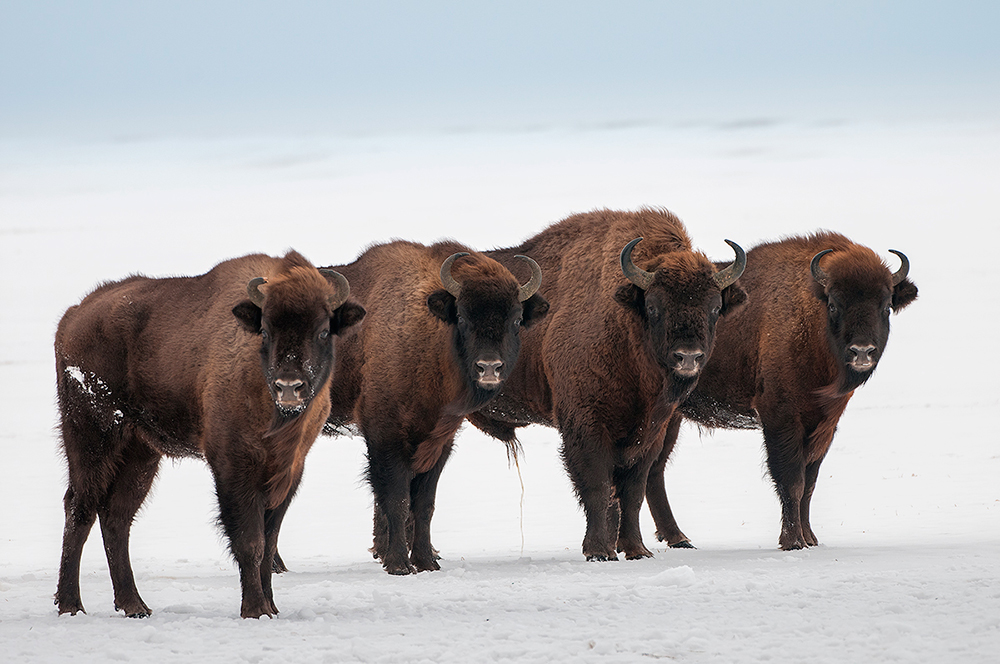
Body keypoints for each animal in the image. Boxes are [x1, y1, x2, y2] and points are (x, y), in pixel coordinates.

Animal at [52, 249, 366, 616]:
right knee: (80, 508)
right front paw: (255, 609)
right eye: (265, 330)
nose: (289, 386)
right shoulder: (232, 464)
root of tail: (73, 317)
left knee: (116, 516)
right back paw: (71, 604)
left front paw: (271, 607)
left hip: (140, 452)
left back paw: (134, 605)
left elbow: (270, 538)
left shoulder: (289, 470)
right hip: (92, 436)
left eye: (323, 331)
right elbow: (251, 542)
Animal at [322, 240, 548, 576]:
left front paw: (427, 561)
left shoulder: (439, 440)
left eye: (516, 319)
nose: (489, 367)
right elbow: (397, 499)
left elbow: (424, 503)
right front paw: (399, 564)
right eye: (463, 317)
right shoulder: (385, 435)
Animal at [466, 208, 744, 560]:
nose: (688, 357)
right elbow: (598, 487)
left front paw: (636, 549)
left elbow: (632, 492)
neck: (624, 325)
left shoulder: (650, 433)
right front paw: (599, 551)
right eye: (653, 306)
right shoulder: (586, 425)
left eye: (715, 307)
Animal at [644, 231, 916, 552]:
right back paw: (677, 537)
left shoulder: (824, 423)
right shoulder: (780, 416)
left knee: (654, 469)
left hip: (670, 416)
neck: (810, 317)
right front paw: (792, 541)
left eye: (885, 306)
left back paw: (678, 538)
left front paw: (810, 538)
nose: (862, 351)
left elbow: (810, 481)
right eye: (834, 304)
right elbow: (792, 480)